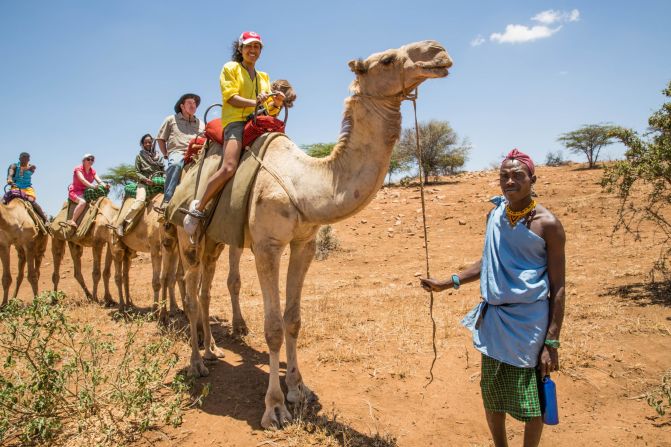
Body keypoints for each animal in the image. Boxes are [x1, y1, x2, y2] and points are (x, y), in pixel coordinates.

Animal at [176, 40, 454, 428]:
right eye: (386, 59)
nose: (438, 51)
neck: (304, 183)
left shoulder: (303, 243)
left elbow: (293, 321)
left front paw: (298, 390)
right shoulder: (267, 246)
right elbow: (273, 327)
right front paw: (275, 408)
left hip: (214, 238)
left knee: (204, 288)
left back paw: (213, 349)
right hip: (184, 235)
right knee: (189, 290)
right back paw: (197, 364)